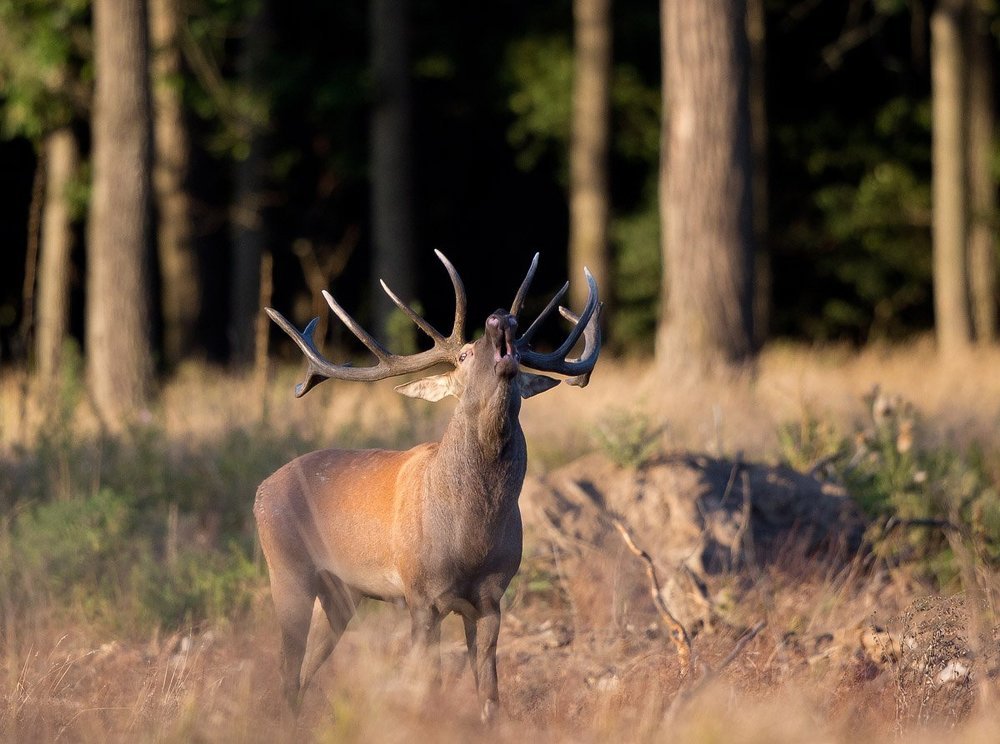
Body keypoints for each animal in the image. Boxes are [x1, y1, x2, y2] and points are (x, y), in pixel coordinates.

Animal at [254, 250, 601, 723]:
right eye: (464, 355)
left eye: (518, 346)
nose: (500, 319)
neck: (471, 538)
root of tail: (261, 489)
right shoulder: (420, 594)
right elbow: (427, 683)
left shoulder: (492, 597)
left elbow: (490, 694)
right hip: (286, 569)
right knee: (287, 668)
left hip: (341, 592)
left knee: (305, 670)